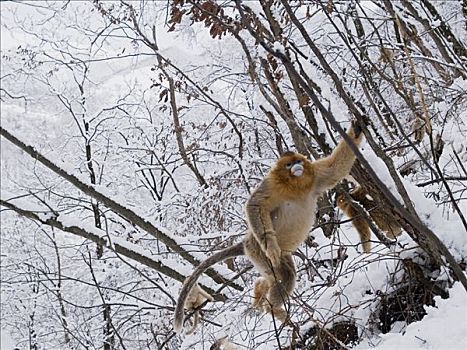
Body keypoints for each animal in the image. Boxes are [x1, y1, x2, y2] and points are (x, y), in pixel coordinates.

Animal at [174, 121, 364, 332]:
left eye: (298, 161)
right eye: (288, 164)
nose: (296, 166)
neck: (294, 185)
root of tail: (246, 242)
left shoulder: (315, 176)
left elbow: (335, 168)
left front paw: (356, 129)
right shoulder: (272, 184)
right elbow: (256, 205)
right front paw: (271, 246)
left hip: (279, 254)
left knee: (278, 276)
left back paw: (262, 291)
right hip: (257, 251)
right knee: (284, 276)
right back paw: (272, 308)